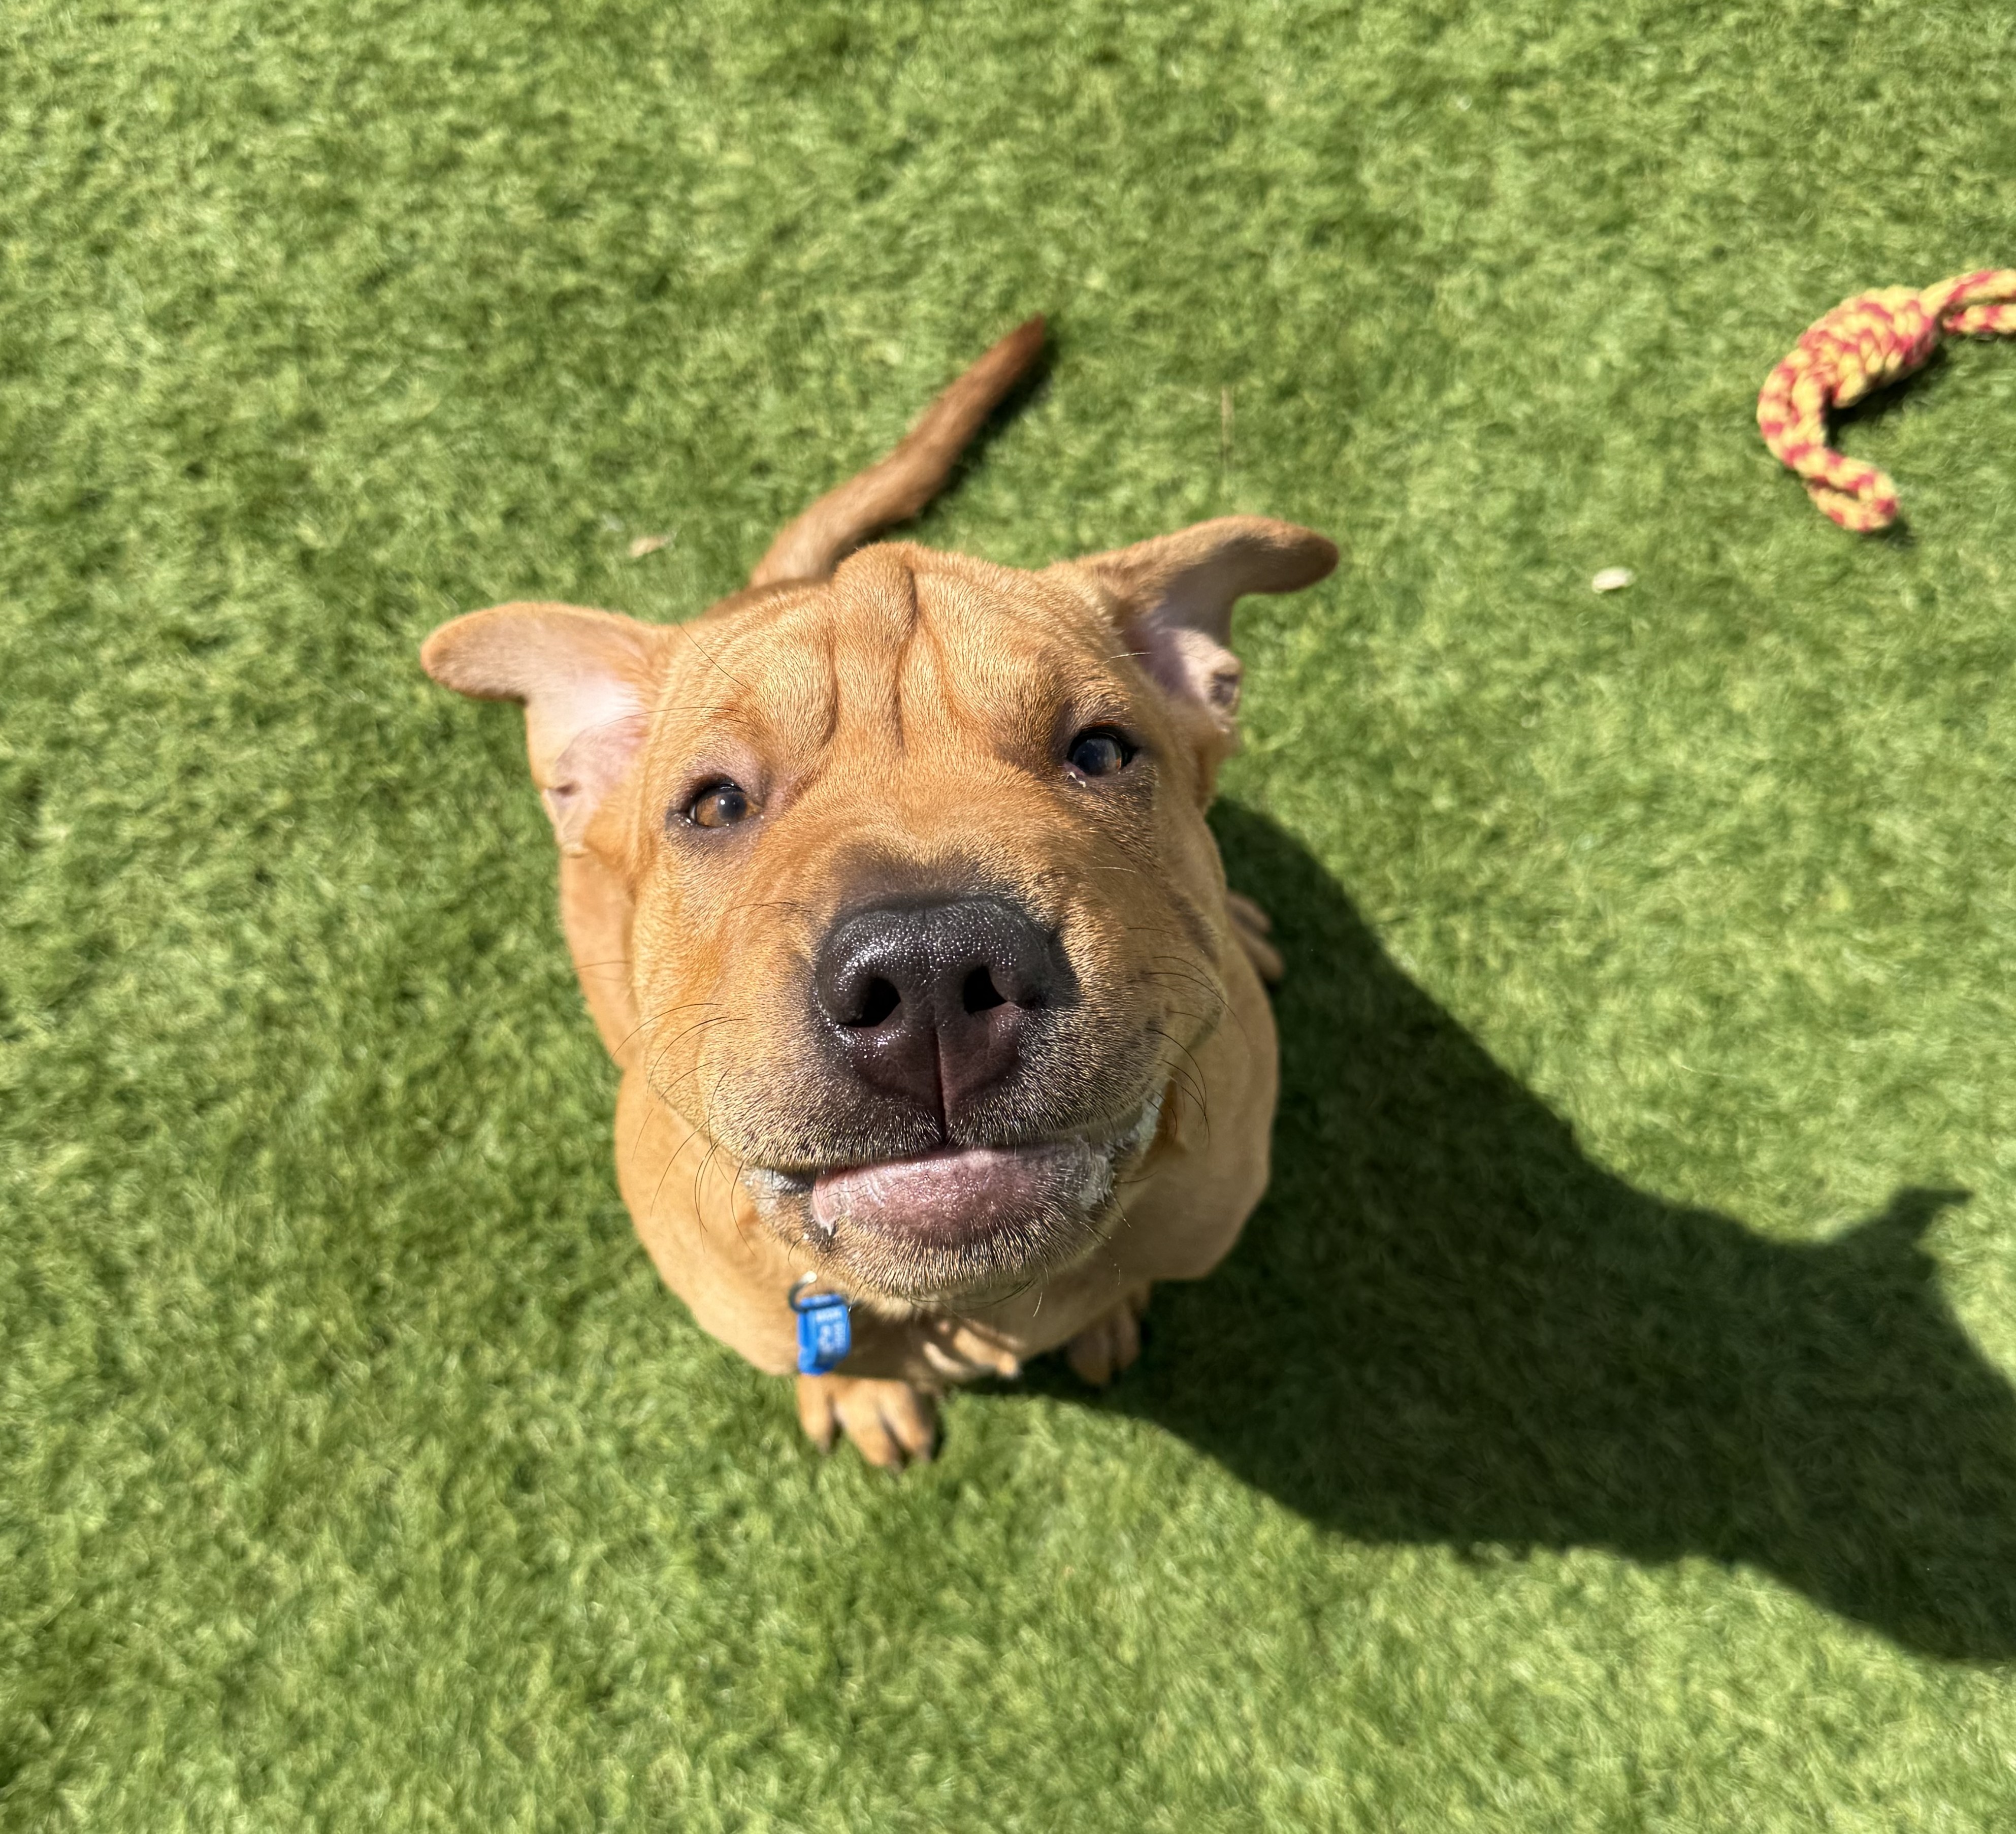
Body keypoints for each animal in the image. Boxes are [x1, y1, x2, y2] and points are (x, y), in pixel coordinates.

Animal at [421, 319, 1336, 1466]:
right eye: (713, 804)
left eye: (1099, 749)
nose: (931, 966)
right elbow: (845, 1354)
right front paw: (863, 1391)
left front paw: (1109, 1307)